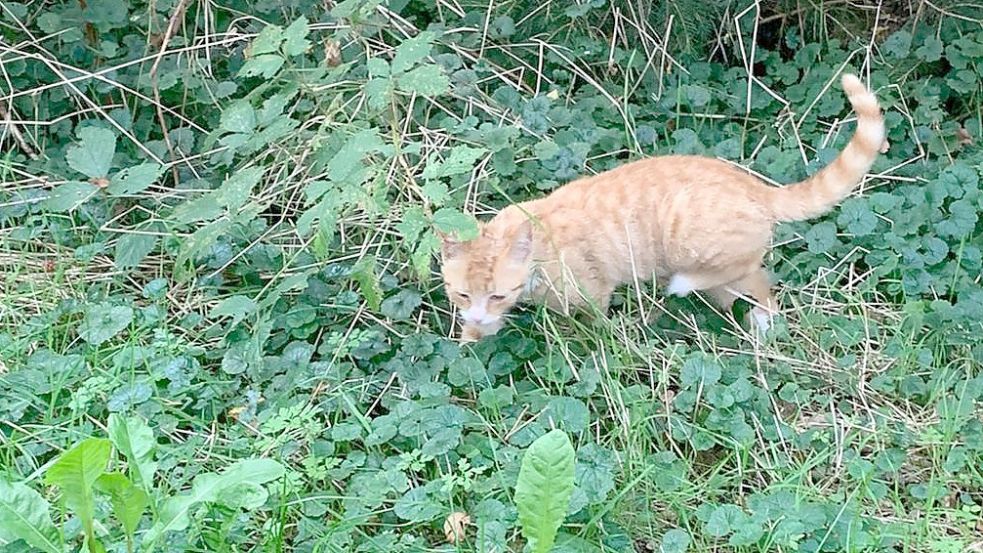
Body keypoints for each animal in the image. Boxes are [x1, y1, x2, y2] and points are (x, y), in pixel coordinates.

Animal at [442, 73, 888, 340]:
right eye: (462, 295)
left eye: (496, 294)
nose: (477, 315)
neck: (537, 245)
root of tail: (753, 185)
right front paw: (469, 340)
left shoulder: (592, 292)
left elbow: (594, 326)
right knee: (751, 284)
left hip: (691, 239)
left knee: (753, 273)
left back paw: (707, 295)